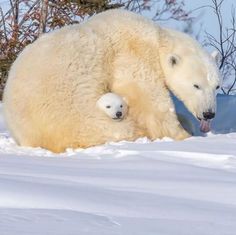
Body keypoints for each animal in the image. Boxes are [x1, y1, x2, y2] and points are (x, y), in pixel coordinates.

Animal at [2, 9, 220, 152]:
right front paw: (184, 135)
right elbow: (149, 99)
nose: (209, 113)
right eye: (196, 85)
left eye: (216, 86)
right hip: (74, 111)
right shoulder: (132, 55)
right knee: (115, 128)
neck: (155, 38)